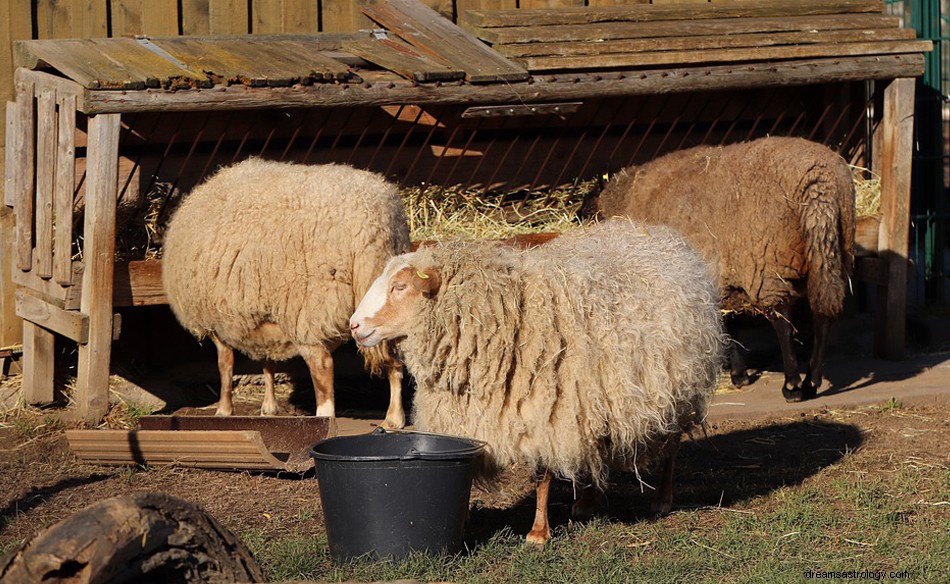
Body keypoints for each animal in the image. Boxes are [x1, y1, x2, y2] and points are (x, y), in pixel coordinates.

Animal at [163, 157, 412, 426]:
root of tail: (376, 225)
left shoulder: (216, 321)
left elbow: (225, 364)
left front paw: (224, 409)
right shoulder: (261, 312)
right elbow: (266, 359)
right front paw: (269, 406)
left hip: (309, 306)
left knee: (323, 367)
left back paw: (323, 418)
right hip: (385, 308)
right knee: (395, 361)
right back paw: (394, 418)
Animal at [350, 218, 720, 544]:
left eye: (399, 287)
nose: (354, 325)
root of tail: (658, 233)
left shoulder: (547, 413)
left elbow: (542, 476)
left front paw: (539, 532)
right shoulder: (464, 418)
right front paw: (463, 521)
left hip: (676, 391)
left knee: (672, 447)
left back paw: (662, 499)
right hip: (597, 398)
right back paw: (587, 502)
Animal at [592, 136, 860, 402]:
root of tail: (819, 182)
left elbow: (725, 326)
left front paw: (735, 374)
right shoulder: (721, 276)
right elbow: (730, 322)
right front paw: (739, 374)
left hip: (768, 263)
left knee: (782, 321)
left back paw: (792, 385)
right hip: (831, 256)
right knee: (823, 315)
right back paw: (811, 381)